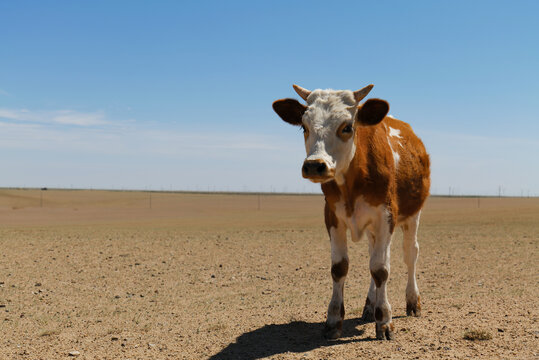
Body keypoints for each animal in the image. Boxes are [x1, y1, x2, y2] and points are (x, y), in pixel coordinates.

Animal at [274, 83, 430, 340]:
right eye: (304, 127)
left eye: (347, 127)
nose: (315, 165)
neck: (352, 181)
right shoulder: (332, 216)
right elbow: (340, 268)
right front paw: (333, 319)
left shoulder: (386, 217)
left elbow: (381, 269)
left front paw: (384, 320)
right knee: (373, 255)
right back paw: (369, 306)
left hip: (413, 215)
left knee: (410, 253)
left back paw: (412, 301)